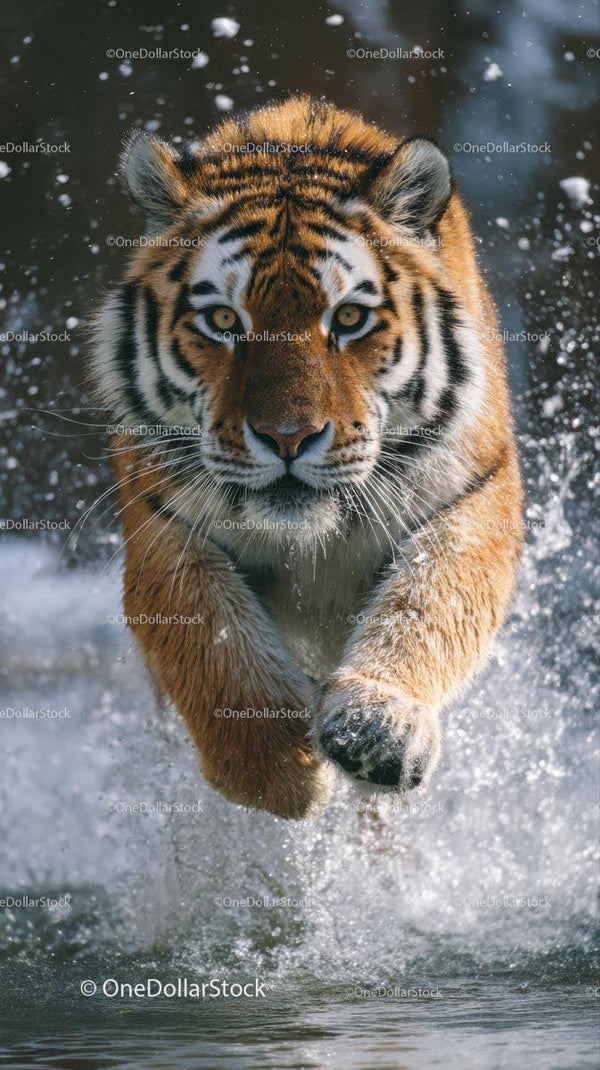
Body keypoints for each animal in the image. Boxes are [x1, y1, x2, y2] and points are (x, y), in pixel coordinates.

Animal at [92, 96, 524, 819]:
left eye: (348, 319)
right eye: (224, 321)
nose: (288, 437)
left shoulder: (471, 496)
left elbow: (430, 601)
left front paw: (378, 729)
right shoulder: (164, 525)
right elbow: (213, 645)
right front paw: (282, 770)